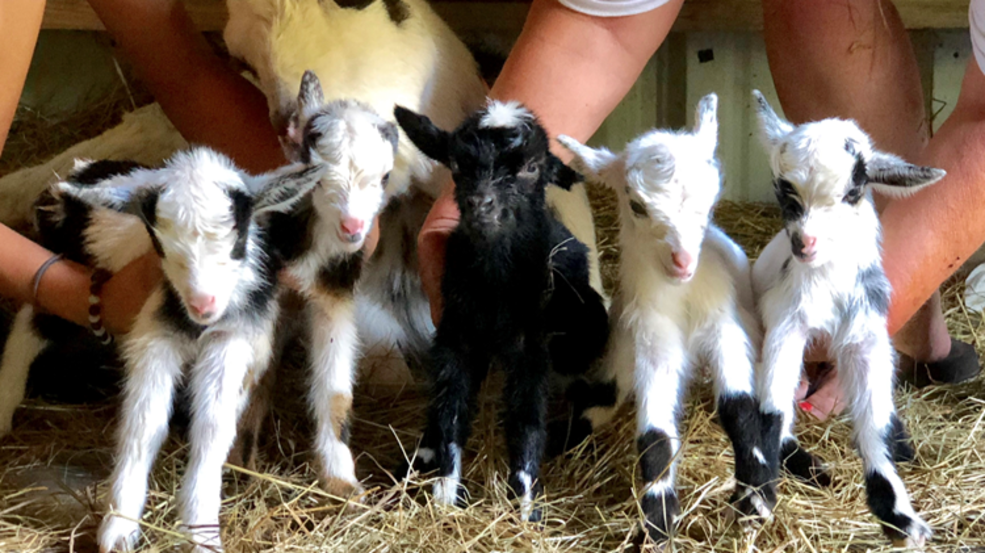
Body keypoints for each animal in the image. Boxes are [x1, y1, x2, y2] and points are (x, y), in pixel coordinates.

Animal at [394, 100, 607, 522]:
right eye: (457, 164)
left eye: (532, 167)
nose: (481, 204)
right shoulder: (456, 335)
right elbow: (451, 407)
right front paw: (447, 491)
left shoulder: (531, 347)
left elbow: (526, 419)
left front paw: (525, 504)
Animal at [557, 94, 772, 543]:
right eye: (637, 205)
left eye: (711, 200)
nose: (683, 261)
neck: (682, 297)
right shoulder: (653, 341)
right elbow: (654, 438)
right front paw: (658, 523)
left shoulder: (725, 327)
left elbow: (739, 408)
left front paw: (756, 497)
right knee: (600, 400)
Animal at [751, 90, 940, 548]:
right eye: (784, 191)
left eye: (855, 189)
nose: (805, 243)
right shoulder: (785, 324)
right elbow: (773, 407)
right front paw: (761, 493)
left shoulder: (868, 335)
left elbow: (874, 421)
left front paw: (899, 516)